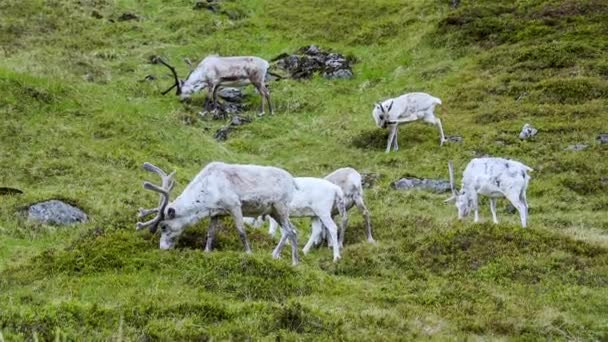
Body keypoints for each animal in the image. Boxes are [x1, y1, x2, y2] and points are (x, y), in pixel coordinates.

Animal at [137, 160, 300, 264]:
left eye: (163, 226)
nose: (162, 248)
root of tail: (293, 181)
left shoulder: (234, 205)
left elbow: (241, 232)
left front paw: (249, 253)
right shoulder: (216, 213)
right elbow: (210, 234)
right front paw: (206, 252)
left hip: (281, 207)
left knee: (289, 231)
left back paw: (289, 260)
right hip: (274, 211)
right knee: (293, 230)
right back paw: (289, 260)